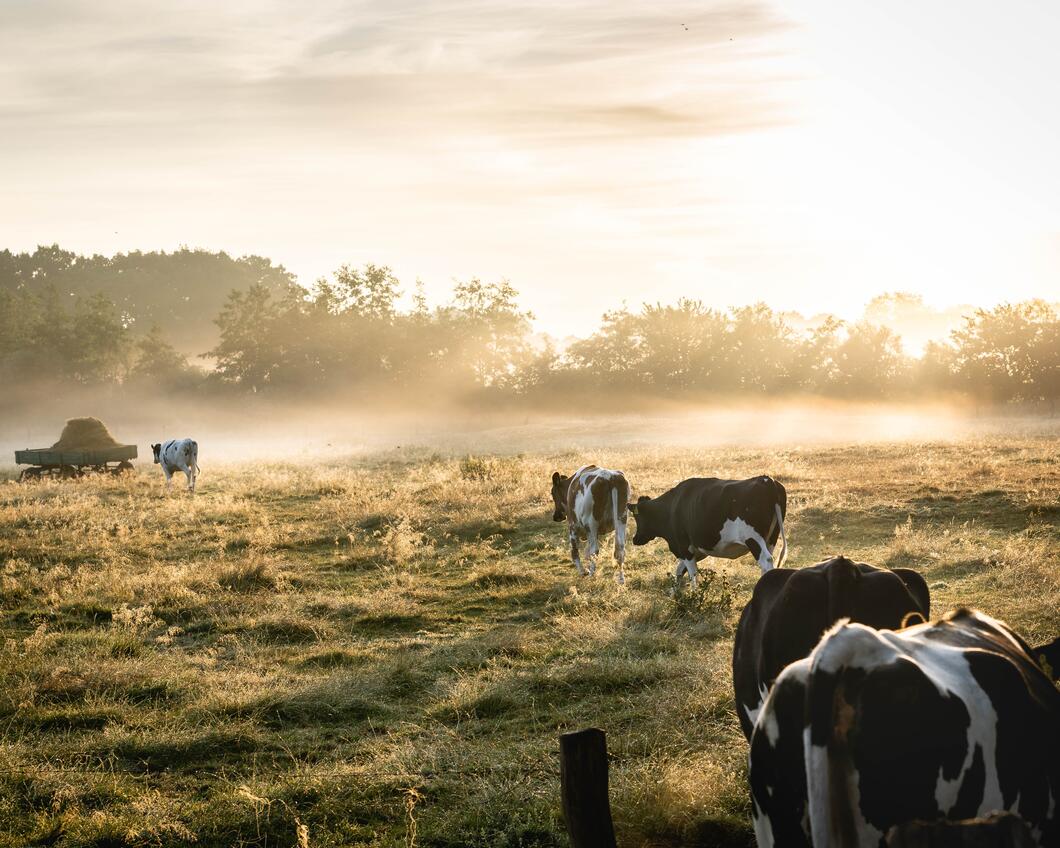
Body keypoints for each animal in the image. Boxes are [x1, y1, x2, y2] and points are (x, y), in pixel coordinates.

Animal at [627, 476, 788, 589]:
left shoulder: (684, 547)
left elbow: (692, 574)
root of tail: (766, 479)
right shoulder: (697, 550)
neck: (672, 507)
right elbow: (679, 570)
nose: (635, 539)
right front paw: (676, 594)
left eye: (637, 517)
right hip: (771, 539)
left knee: (766, 561)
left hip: (753, 538)